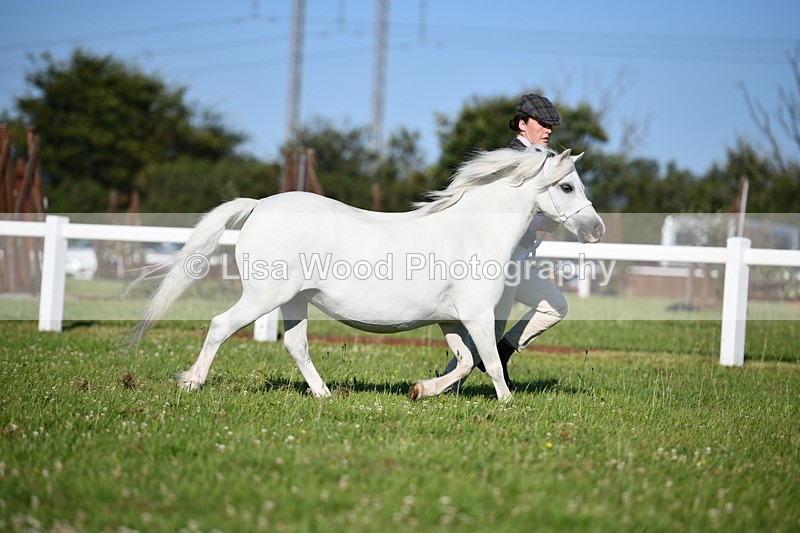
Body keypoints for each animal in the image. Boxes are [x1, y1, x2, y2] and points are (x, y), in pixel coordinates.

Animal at [131, 147, 604, 401]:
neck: (472, 230)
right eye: (567, 186)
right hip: (264, 296)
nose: (596, 230)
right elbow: (488, 358)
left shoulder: (450, 319)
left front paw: (421, 390)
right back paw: (192, 382)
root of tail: (260, 205)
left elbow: (467, 360)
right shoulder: (476, 315)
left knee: (296, 345)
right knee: (219, 326)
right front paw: (507, 402)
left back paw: (324, 395)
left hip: (295, 301)